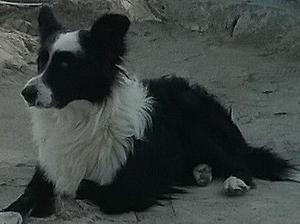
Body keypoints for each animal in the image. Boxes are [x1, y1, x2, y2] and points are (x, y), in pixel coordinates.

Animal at [1, 6, 298, 220]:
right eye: (41, 62)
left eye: (65, 65)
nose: (26, 93)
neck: (76, 119)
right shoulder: (47, 171)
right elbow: (25, 198)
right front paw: (12, 212)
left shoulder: (135, 188)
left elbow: (79, 188)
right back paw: (201, 171)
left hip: (196, 122)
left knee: (240, 162)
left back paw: (234, 181)